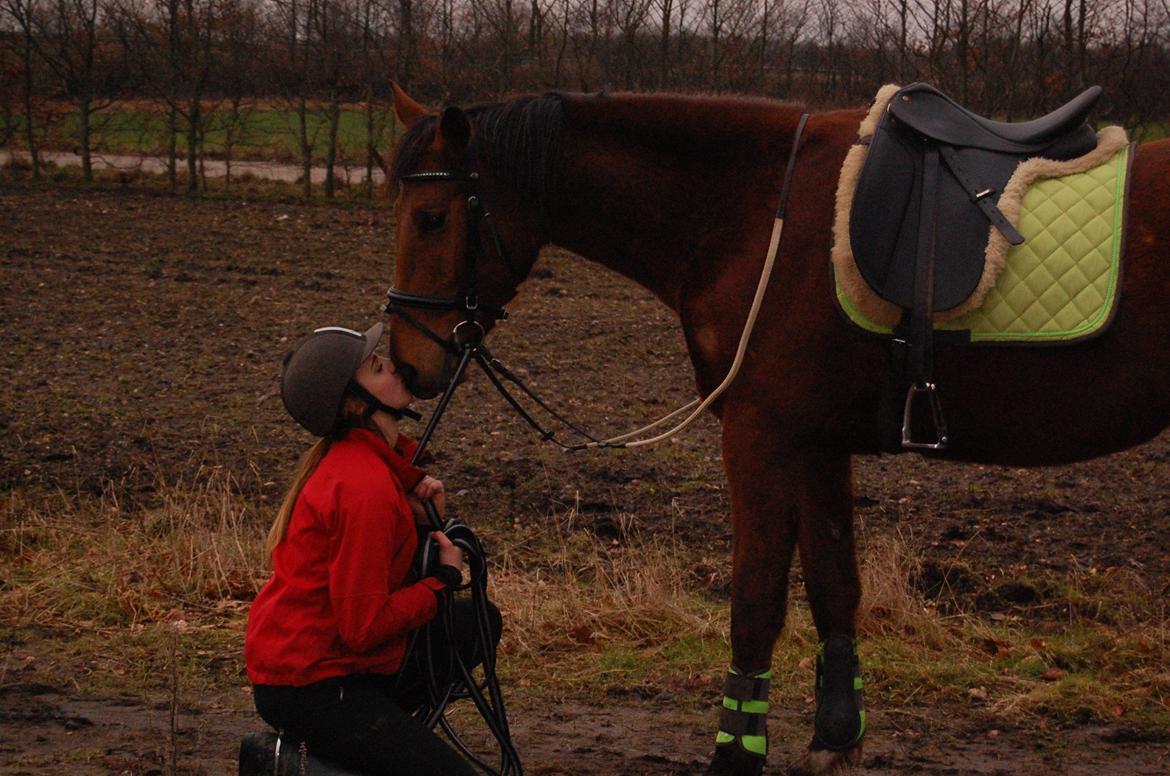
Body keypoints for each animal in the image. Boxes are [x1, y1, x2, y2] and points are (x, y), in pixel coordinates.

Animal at [386, 86, 1170, 776]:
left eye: (430, 218)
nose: (405, 360)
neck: (756, 209)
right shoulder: (817, 441)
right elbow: (833, 584)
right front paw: (837, 735)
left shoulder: (760, 434)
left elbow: (756, 603)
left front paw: (736, 749)